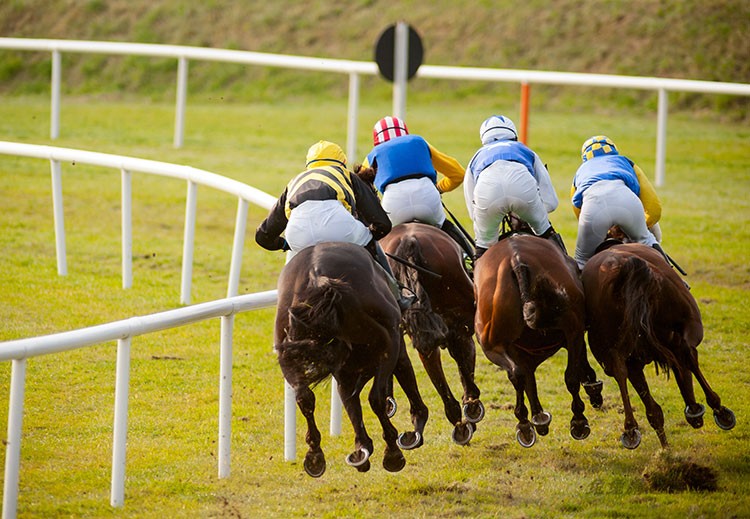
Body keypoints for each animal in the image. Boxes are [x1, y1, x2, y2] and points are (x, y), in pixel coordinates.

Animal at [274, 242, 428, 478]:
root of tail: (317, 276)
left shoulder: (344, 369)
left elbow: (349, 401)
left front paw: (361, 450)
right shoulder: (393, 343)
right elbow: (401, 375)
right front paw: (414, 428)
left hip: (287, 351)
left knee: (304, 397)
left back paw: (315, 456)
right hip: (388, 339)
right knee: (376, 396)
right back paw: (392, 452)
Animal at [476, 235, 604, 446]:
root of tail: (516, 260)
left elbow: (528, 380)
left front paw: (538, 419)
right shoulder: (572, 335)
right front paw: (593, 389)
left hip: (491, 345)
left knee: (517, 374)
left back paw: (525, 424)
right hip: (570, 327)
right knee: (565, 376)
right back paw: (576, 421)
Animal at [580, 242, 736, 448]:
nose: (696, 420)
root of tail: (626, 266)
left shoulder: (636, 362)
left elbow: (653, 406)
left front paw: (665, 446)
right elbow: (685, 367)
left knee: (622, 372)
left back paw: (631, 430)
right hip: (689, 322)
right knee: (688, 355)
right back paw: (718, 410)